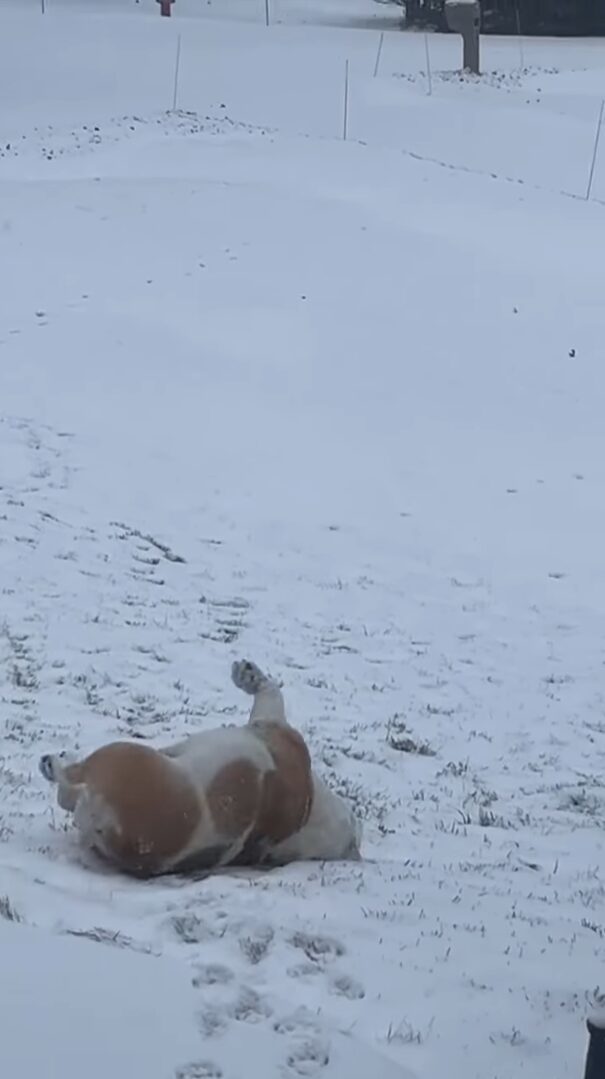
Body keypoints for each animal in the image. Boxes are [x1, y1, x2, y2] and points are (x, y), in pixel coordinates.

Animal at [40, 656, 360, 876]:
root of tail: (102, 814)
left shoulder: (273, 727)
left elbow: (269, 693)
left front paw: (249, 675)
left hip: (119, 755)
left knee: (68, 783)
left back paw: (53, 763)